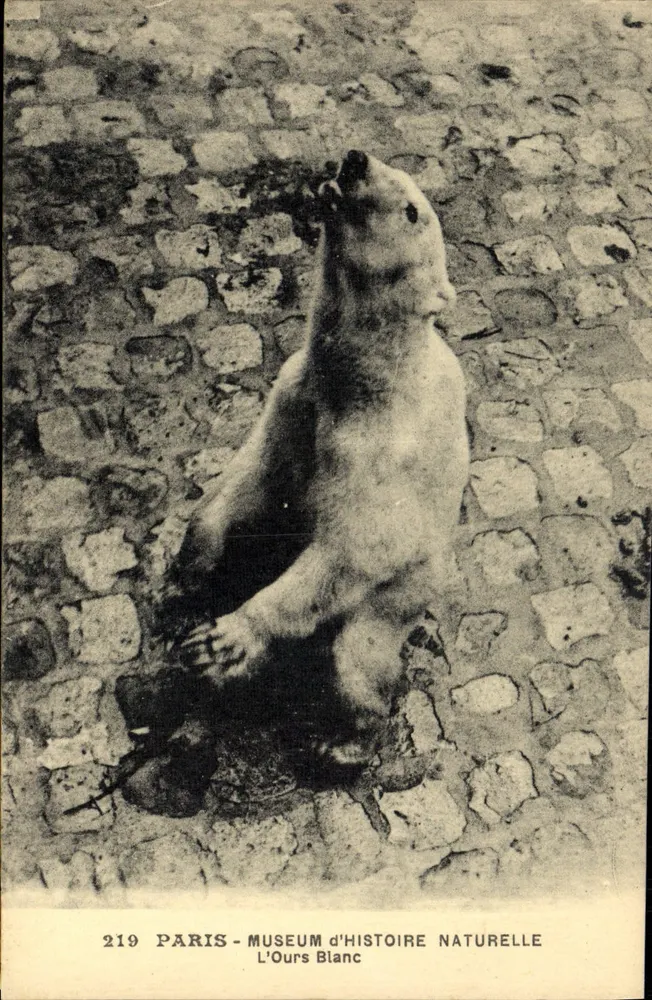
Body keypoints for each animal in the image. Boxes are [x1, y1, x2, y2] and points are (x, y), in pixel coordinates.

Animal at [169, 149, 470, 771]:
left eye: (411, 209)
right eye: (386, 166)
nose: (354, 160)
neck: (362, 381)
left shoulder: (377, 450)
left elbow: (354, 548)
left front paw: (224, 638)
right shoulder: (296, 395)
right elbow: (257, 472)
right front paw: (190, 569)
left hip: (407, 590)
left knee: (356, 652)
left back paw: (343, 742)